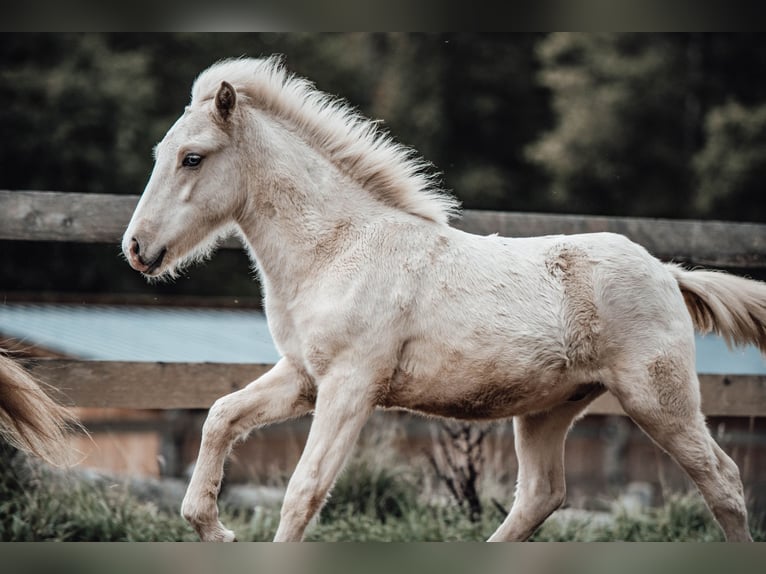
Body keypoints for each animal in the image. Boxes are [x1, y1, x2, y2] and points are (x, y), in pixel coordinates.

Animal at [123, 56, 765, 542]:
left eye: (193, 157)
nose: (136, 248)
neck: (338, 248)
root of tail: (667, 272)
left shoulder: (351, 384)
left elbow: (303, 490)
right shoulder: (303, 376)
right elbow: (220, 416)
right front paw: (213, 527)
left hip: (658, 398)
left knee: (724, 481)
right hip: (549, 409)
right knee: (541, 495)